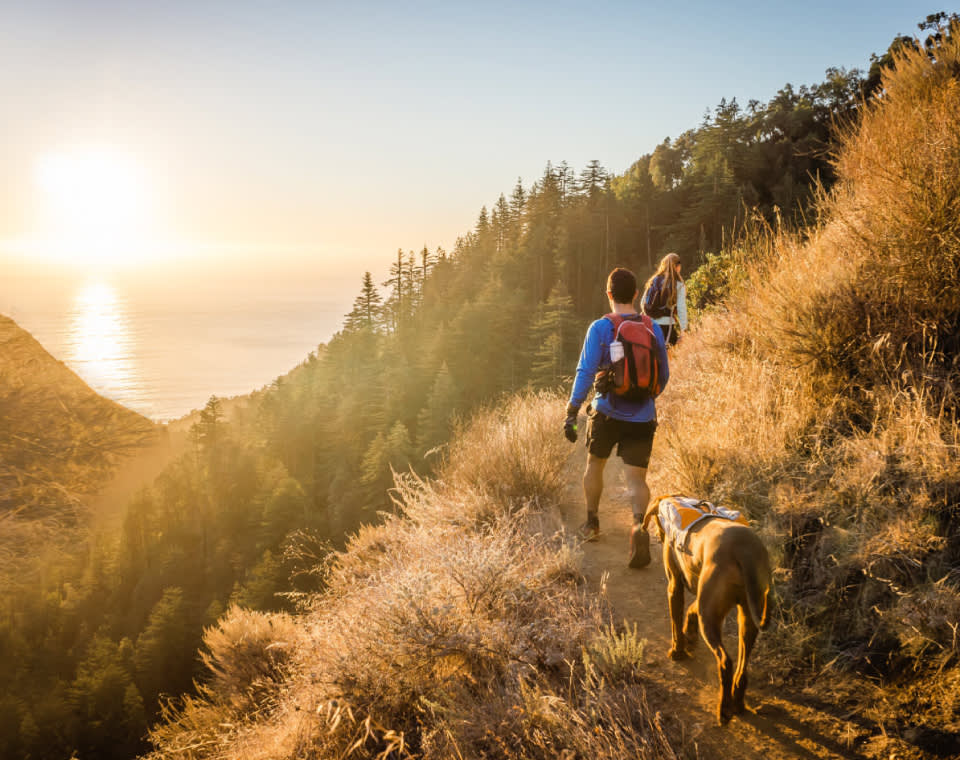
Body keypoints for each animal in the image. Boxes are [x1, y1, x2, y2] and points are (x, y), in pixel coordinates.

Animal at [644, 498, 772, 724]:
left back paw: (725, 709)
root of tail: (745, 549)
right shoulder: (704, 594)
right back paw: (738, 702)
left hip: (710, 618)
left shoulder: (674, 586)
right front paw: (689, 633)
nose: (660, 536)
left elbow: (675, 623)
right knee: (742, 665)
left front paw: (678, 651)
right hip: (745, 615)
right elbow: (691, 608)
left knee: (725, 661)